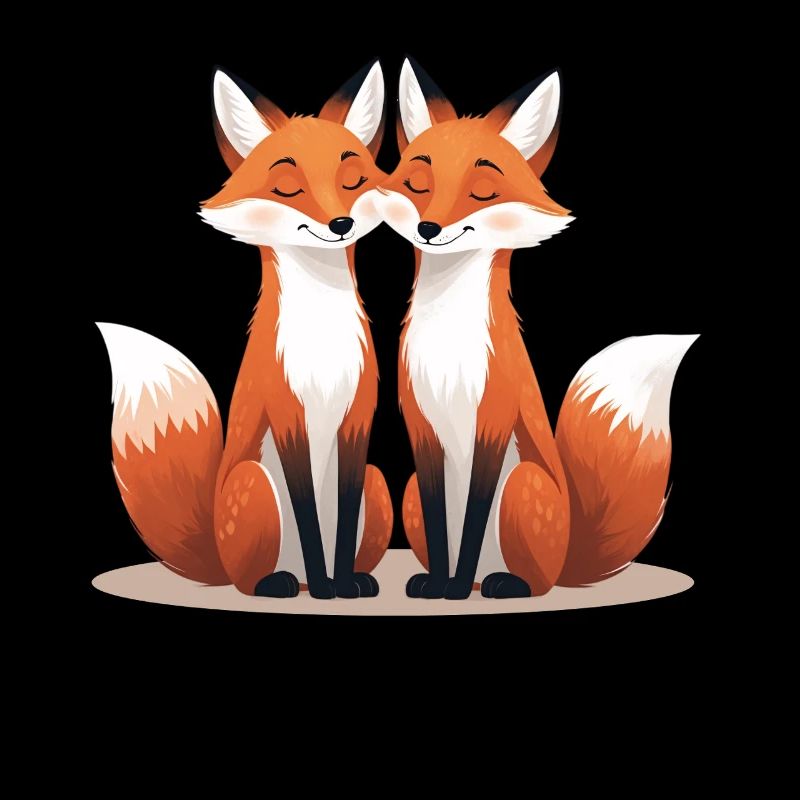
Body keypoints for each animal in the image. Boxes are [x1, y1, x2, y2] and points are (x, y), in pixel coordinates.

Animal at [97, 61, 394, 599]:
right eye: (287, 186)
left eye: (354, 180)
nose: (340, 223)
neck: (322, 345)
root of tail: (215, 550)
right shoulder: (287, 416)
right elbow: (308, 516)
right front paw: (327, 588)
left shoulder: (357, 420)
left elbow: (339, 523)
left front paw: (341, 583)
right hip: (252, 483)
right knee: (252, 577)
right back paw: (283, 584)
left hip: (377, 483)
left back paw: (349, 578)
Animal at [372, 58, 698, 599]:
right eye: (418, 183)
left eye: (483, 190)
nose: (428, 229)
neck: (449, 347)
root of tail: (569, 553)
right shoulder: (422, 430)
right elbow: (444, 528)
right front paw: (439, 583)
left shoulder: (494, 421)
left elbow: (474, 517)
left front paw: (453, 590)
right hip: (413, 493)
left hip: (524, 485)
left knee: (536, 580)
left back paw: (502, 585)